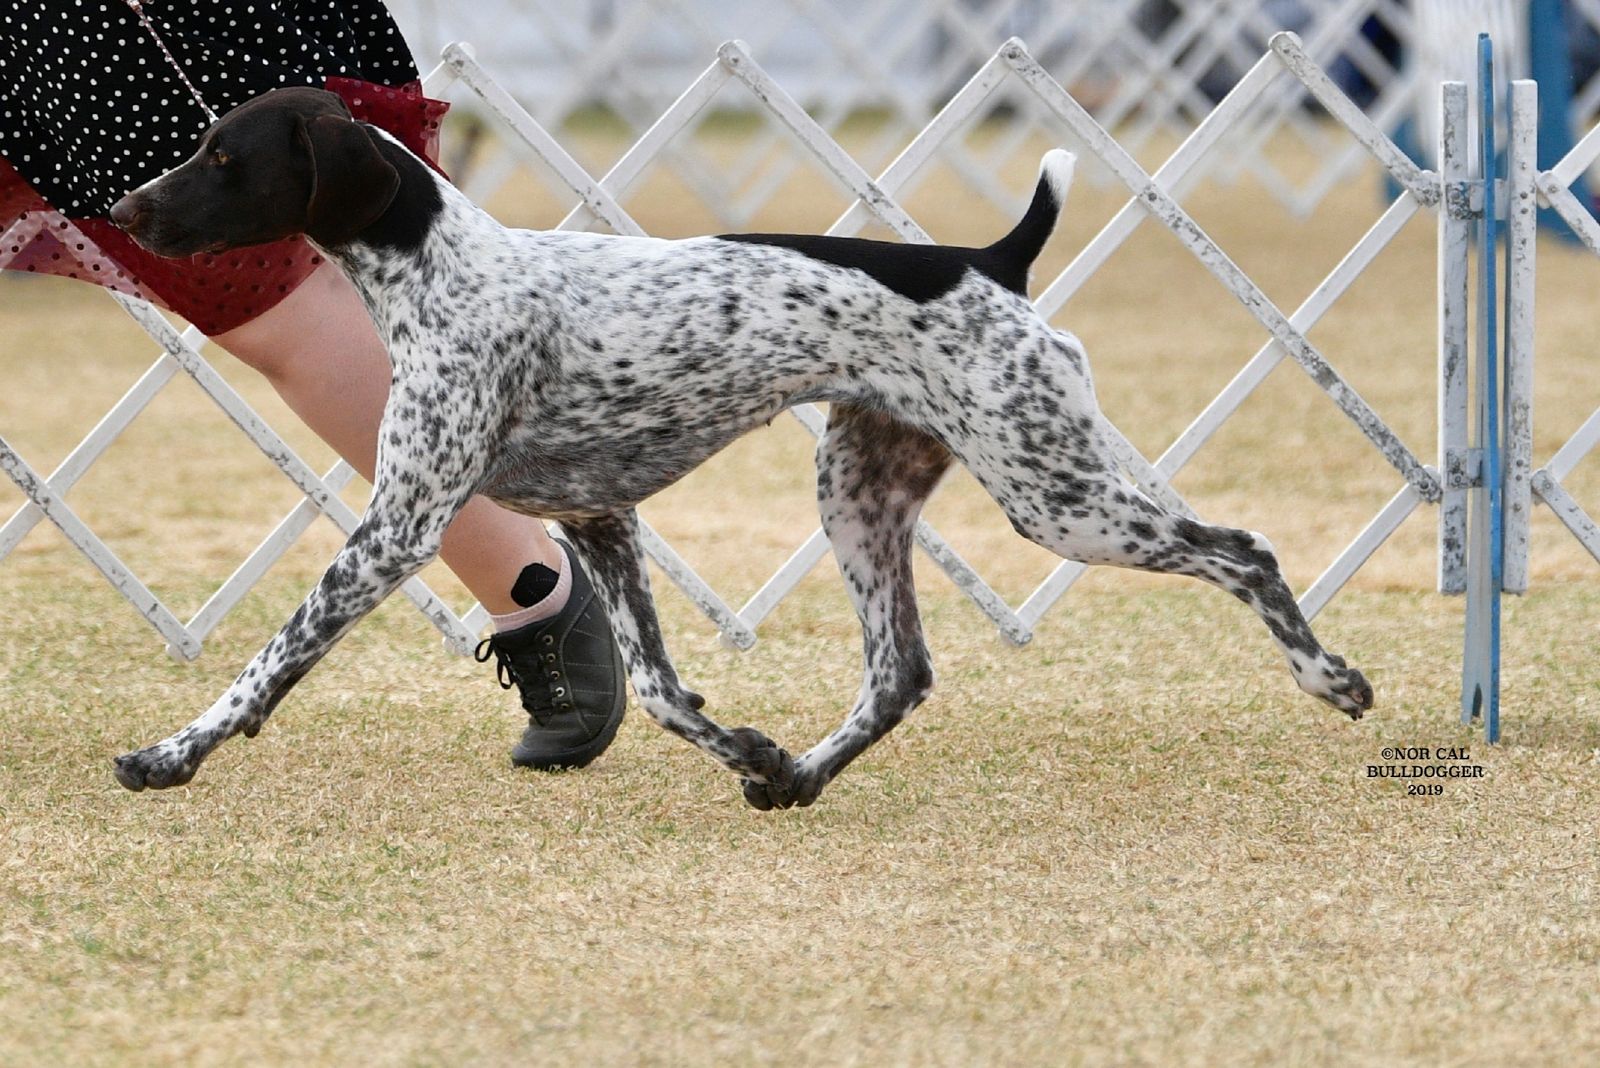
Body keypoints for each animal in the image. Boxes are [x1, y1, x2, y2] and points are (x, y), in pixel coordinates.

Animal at [108, 87, 1373, 810]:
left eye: (223, 155)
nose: (123, 210)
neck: (442, 270)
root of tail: (990, 261)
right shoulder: (599, 523)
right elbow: (664, 691)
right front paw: (750, 754)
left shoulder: (398, 527)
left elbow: (270, 660)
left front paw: (172, 753)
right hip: (860, 496)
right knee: (900, 672)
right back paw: (801, 777)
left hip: (1053, 494)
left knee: (1244, 549)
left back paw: (1331, 679)